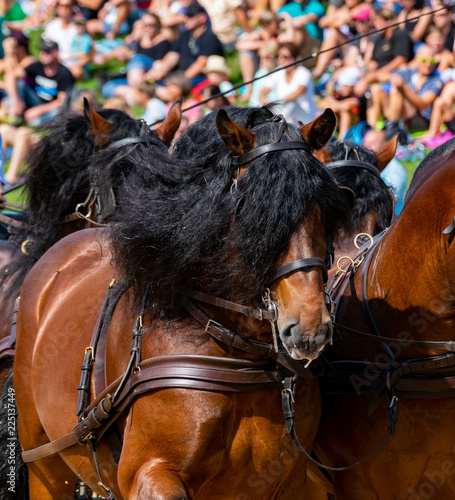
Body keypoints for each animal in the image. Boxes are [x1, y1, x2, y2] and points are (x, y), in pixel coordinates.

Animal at [9, 107, 352, 498]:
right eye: (254, 211)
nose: (310, 327)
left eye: (325, 208)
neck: (237, 354)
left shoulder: (291, 480)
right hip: (45, 465)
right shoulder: (148, 473)